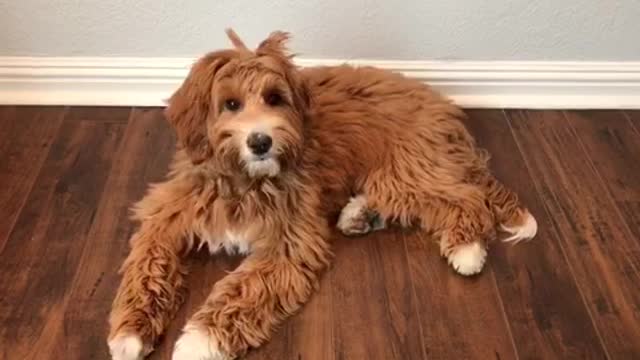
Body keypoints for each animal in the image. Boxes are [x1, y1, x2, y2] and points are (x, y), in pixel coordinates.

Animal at [107, 28, 536, 360]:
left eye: (274, 98)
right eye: (230, 104)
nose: (260, 141)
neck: (245, 181)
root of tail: (443, 107)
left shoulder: (290, 242)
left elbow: (242, 290)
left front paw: (198, 340)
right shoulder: (169, 214)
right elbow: (147, 263)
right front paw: (130, 333)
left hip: (408, 166)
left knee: (466, 198)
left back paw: (467, 249)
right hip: (400, 173)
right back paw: (359, 215)